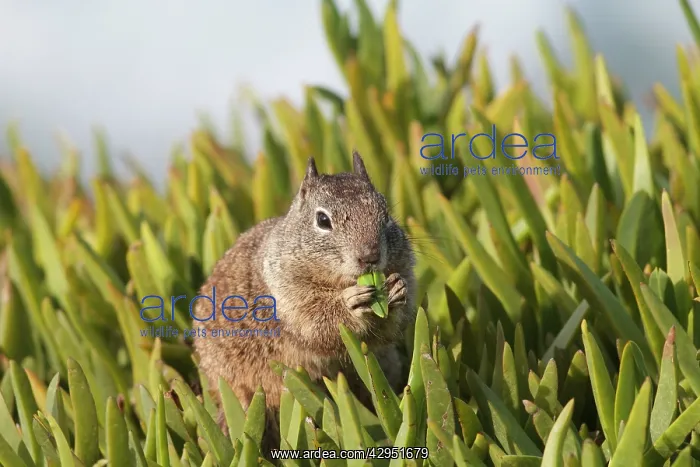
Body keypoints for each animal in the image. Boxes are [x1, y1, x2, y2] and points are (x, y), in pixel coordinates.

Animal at [192, 151, 417, 455]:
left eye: (386, 215)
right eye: (322, 220)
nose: (370, 256)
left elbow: (387, 331)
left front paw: (397, 289)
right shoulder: (289, 296)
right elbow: (317, 324)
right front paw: (350, 304)